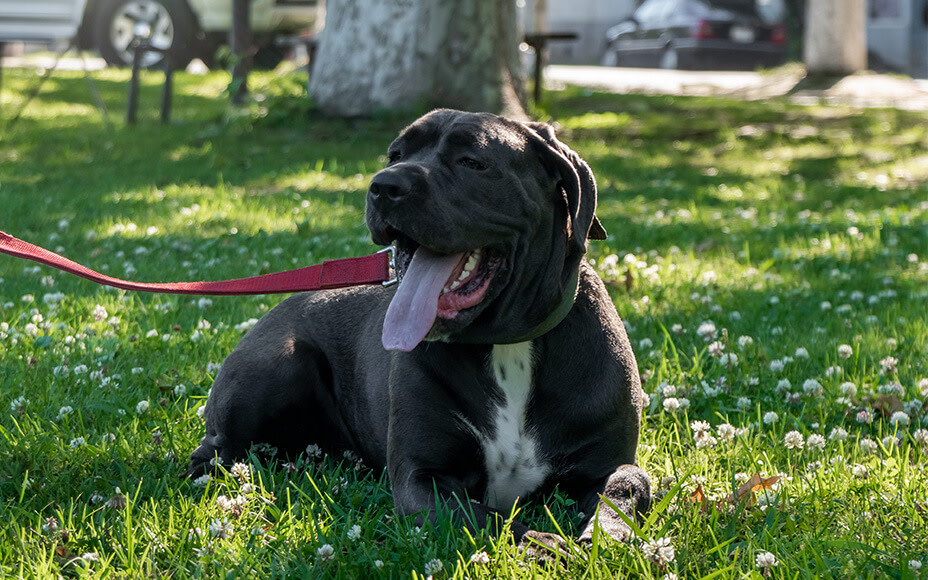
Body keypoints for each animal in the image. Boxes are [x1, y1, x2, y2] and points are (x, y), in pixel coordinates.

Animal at [187, 109, 652, 548]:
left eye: (472, 161)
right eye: (395, 155)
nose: (383, 186)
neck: (507, 346)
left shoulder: (607, 464)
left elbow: (624, 492)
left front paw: (601, 540)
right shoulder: (423, 478)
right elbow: (492, 521)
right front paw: (547, 546)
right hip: (277, 364)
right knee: (218, 446)